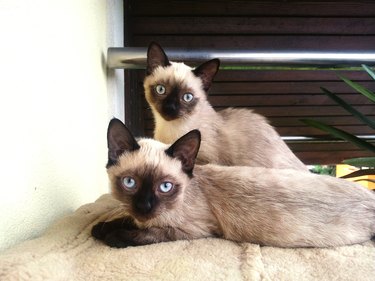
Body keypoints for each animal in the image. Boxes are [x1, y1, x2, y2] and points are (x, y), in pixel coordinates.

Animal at [92, 118, 375, 247]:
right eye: (130, 182)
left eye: (165, 187)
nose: (145, 206)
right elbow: (123, 219)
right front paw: (100, 228)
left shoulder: (195, 230)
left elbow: (142, 234)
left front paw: (111, 236)